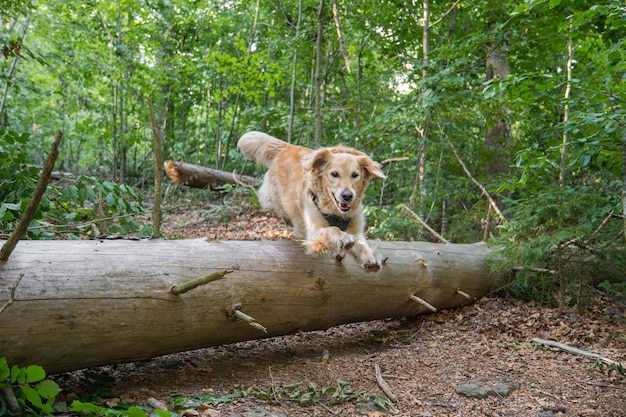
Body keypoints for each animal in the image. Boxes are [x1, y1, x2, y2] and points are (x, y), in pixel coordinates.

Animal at [239, 132, 386, 272]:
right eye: (334, 174)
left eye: (355, 175)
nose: (347, 196)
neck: (335, 212)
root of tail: (287, 147)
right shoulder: (314, 231)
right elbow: (332, 229)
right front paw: (344, 238)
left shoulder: (357, 229)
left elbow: (362, 245)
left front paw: (370, 259)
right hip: (278, 199)